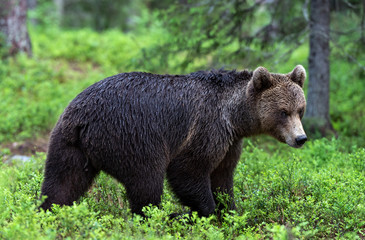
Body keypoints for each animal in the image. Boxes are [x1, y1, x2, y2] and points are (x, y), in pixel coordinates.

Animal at [39, 64, 308, 217]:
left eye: (300, 109)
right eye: (283, 111)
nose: (301, 138)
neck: (234, 116)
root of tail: (84, 121)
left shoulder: (229, 142)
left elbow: (223, 178)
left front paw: (230, 212)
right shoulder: (206, 128)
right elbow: (188, 170)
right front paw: (204, 212)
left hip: (67, 142)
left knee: (62, 183)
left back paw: (48, 214)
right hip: (133, 136)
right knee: (146, 182)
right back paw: (156, 217)